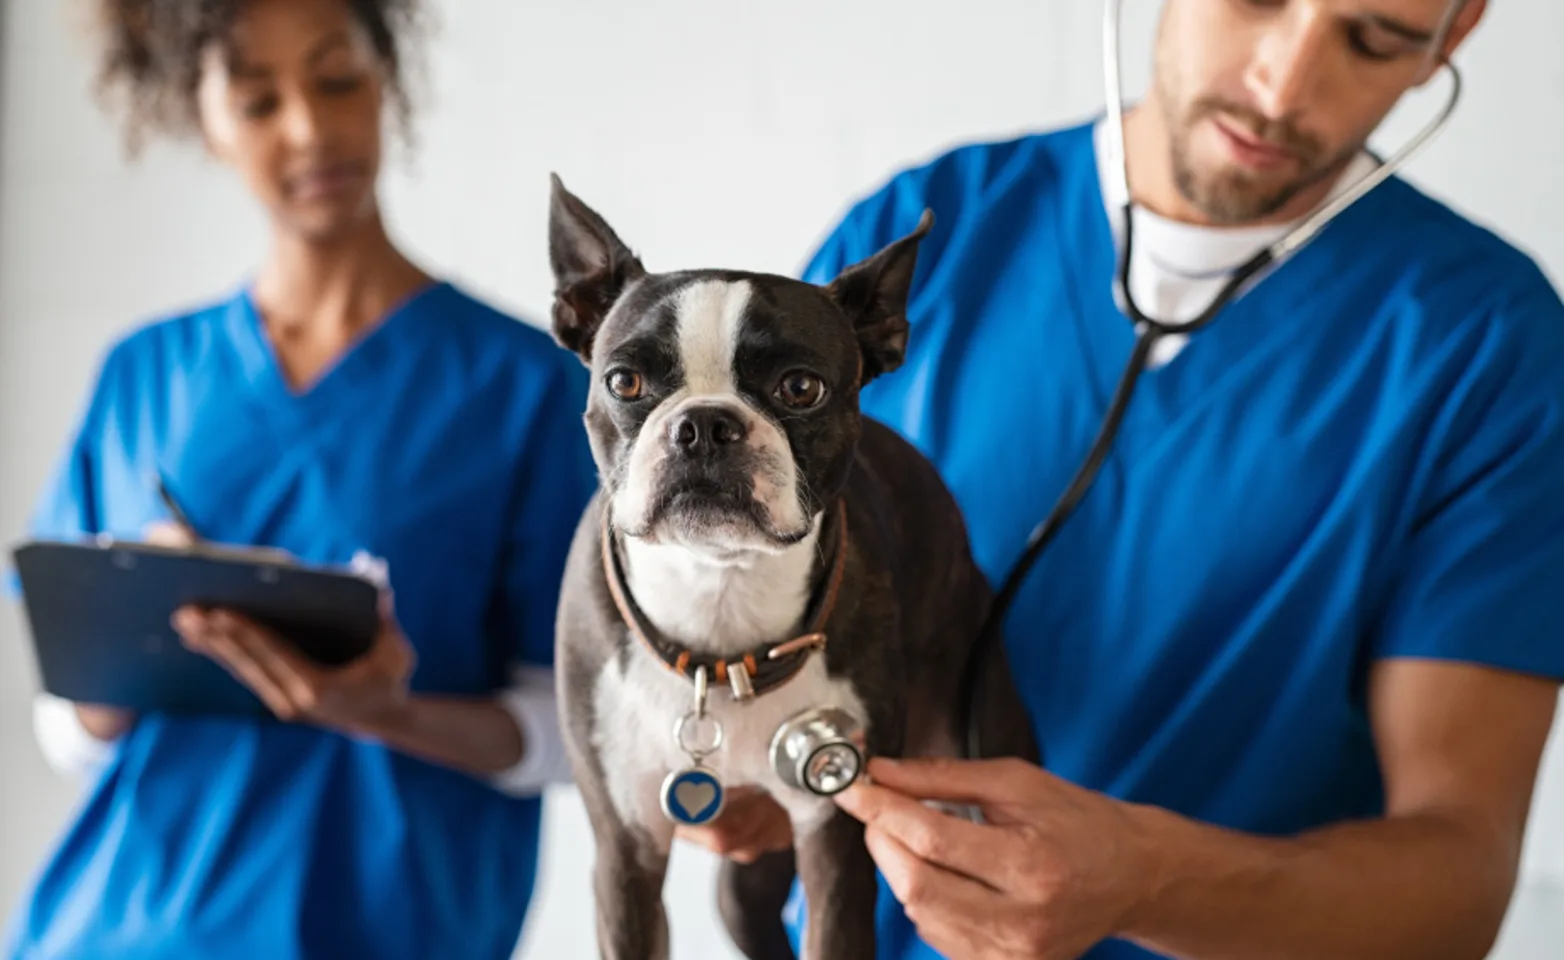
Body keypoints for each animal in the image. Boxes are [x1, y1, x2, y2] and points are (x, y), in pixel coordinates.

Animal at [544, 175, 1032, 960]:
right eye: (623, 382)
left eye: (801, 388)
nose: (704, 424)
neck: (719, 597)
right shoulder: (625, 852)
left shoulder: (835, 837)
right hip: (740, 887)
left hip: (973, 745)